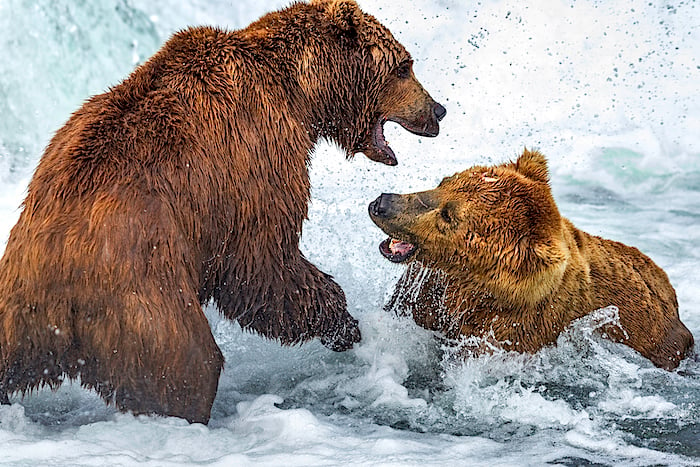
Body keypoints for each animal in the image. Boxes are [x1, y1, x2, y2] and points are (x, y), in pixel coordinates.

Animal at [0, 0, 446, 424]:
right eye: (404, 65)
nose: (438, 110)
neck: (301, 93)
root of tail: (55, 287)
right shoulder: (257, 159)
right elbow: (260, 264)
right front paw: (342, 321)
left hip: (15, 316)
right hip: (144, 300)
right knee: (188, 368)